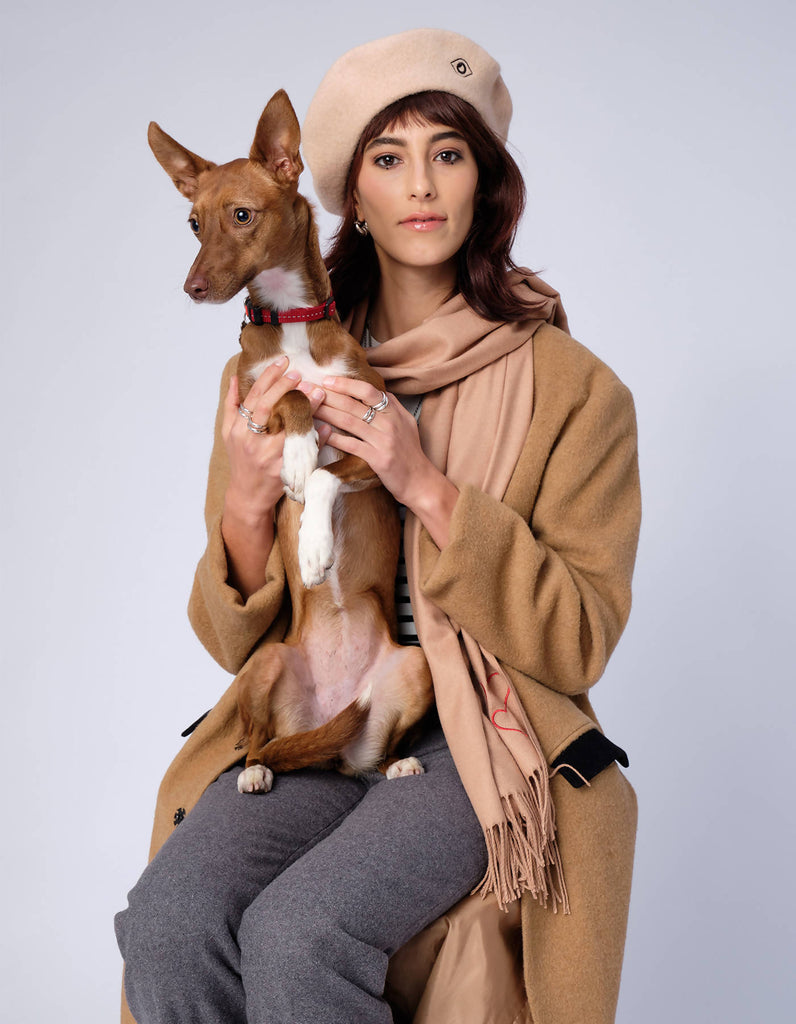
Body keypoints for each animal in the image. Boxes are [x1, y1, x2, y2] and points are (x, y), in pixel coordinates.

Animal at [149, 90, 434, 790]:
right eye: (193, 224)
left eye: (241, 216)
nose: (192, 289)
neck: (294, 320)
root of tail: (326, 729)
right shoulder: (256, 393)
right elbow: (294, 396)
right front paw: (300, 453)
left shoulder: (377, 448)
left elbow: (329, 473)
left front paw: (313, 543)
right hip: (266, 664)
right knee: (260, 742)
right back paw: (255, 773)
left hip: (413, 668)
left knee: (368, 753)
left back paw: (397, 761)